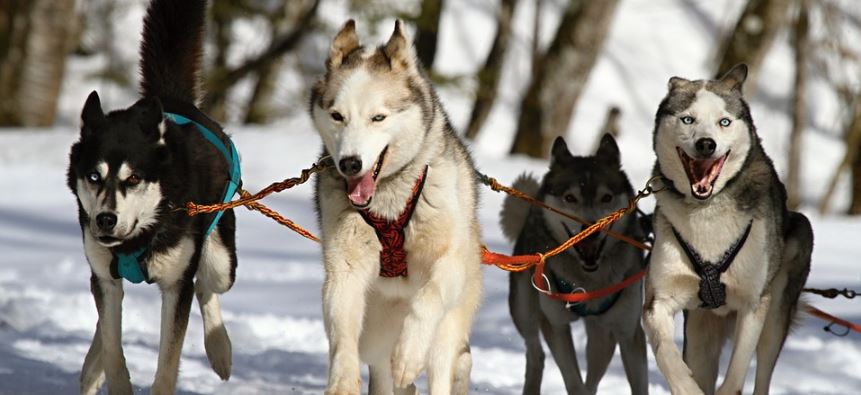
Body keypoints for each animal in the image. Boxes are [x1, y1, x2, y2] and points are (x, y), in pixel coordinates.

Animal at [67, 1, 237, 394]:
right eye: (94, 176)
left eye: (134, 178)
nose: (106, 219)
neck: (139, 237)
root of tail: (173, 100)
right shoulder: (105, 277)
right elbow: (113, 347)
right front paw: (111, 374)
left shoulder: (176, 286)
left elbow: (168, 364)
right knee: (104, 323)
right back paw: (91, 365)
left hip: (220, 259)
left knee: (207, 286)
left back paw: (219, 349)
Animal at [500, 135, 648, 394]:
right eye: (570, 198)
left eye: (606, 197)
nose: (591, 230)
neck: (588, 280)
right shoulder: (556, 325)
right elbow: (573, 380)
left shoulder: (628, 332)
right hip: (523, 309)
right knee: (535, 353)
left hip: (602, 335)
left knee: (593, 376)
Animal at [644, 65, 812, 395]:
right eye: (688, 119)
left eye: (724, 121)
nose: (706, 144)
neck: (707, 211)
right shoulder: (658, 301)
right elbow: (667, 355)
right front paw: (686, 386)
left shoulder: (753, 303)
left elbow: (735, 375)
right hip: (701, 331)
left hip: (776, 312)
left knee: (763, 374)